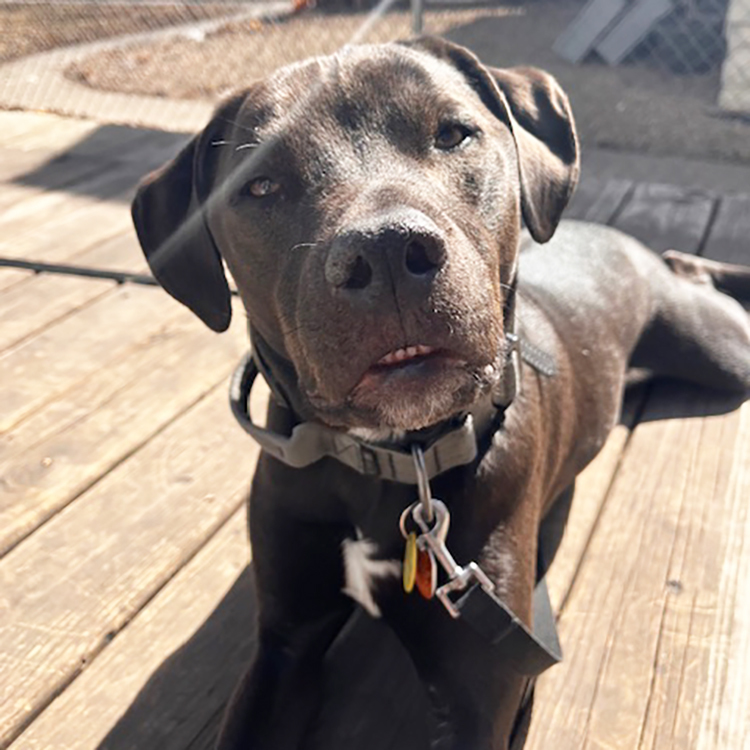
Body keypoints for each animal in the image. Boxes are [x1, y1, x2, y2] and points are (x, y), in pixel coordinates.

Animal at [129, 38, 750, 750]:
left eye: (453, 133)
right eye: (259, 185)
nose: (387, 252)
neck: (394, 464)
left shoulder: (483, 690)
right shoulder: (285, 646)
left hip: (722, 350)